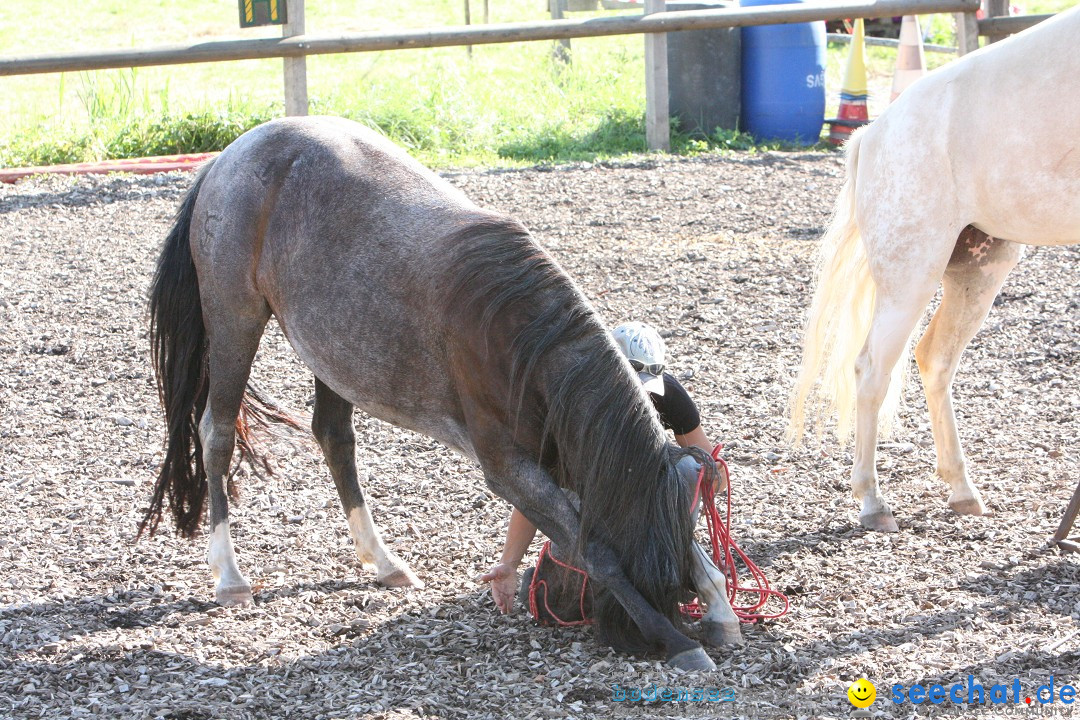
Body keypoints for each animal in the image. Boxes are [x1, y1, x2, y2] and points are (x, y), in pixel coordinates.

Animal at [143, 117, 738, 669]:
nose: (647, 628)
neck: (524, 339)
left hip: (333, 354)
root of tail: (229, 157)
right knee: (217, 434)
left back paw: (382, 561)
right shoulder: (507, 467)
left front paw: (718, 606)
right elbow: (595, 551)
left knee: (334, 438)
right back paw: (229, 576)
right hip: (234, 318)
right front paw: (680, 641)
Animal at [790, 7, 1075, 528]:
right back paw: (873, 501)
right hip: (911, 277)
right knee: (872, 369)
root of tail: (872, 135)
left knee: (935, 359)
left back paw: (962, 489)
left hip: (979, 271)